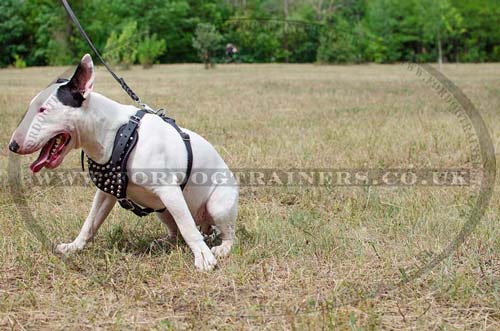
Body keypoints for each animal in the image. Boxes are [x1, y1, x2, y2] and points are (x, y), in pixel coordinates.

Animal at [8, 55, 239, 272]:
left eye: (43, 109)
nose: (12, 145)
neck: (115, 131)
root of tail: (206, 225)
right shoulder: (106, 193)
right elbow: (90, 223)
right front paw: (74, 247)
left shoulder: (169, 189)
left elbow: (188, 227)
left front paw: (203, 258)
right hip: (162, 210)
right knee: (175, 231)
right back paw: (163, 242)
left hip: (217, 206)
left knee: (224, 233)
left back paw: (220, 248)